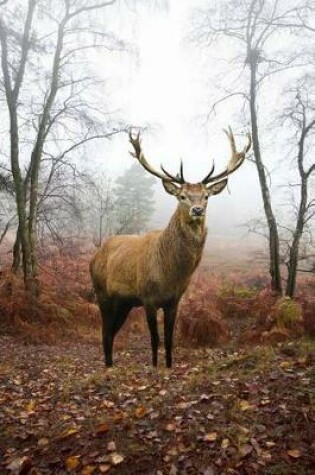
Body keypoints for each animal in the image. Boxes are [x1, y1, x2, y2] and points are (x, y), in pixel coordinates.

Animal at [89, 128, 252, 370]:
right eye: (182, 196)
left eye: (206, 196)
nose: (197, 210)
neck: (170, 274)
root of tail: (94, 257)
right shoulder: (148, 298)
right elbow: (155, 339)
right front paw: (155, 367)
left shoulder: (174, 301)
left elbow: (169, 340)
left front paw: (168, 366)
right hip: (103, 295)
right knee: (105, 332)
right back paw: (108, 367)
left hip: (124, 303)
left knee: (110, 333)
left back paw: (110, 365)